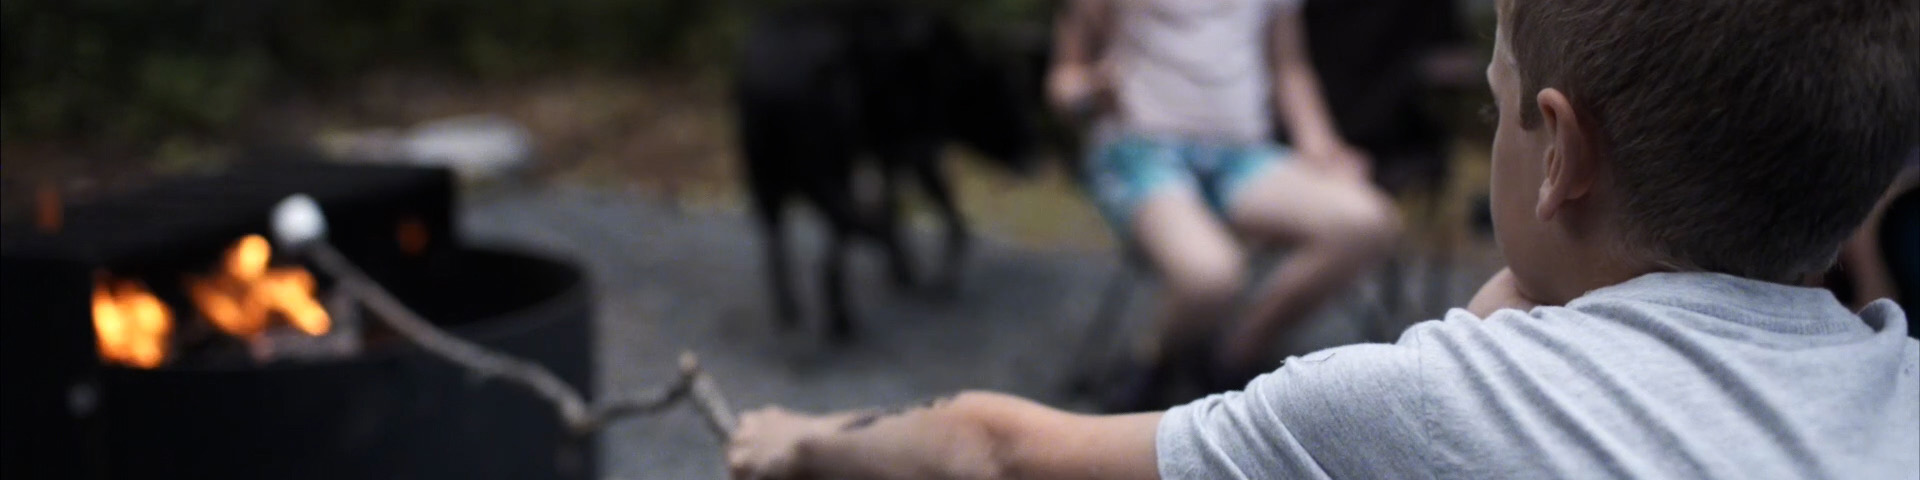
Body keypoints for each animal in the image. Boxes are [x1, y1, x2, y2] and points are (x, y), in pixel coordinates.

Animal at [733, 1, 1044, 339]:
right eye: (1012, 99)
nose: (1036, 154)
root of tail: (769, 75)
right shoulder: (917, 144)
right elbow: (950, 218)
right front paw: (937, 281)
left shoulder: (887, 150)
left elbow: (894, 201)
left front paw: (903, 269)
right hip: (825, 160)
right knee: (843, 221)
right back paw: (847, 311)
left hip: (764, 161)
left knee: (779, 229)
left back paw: (794, 307)